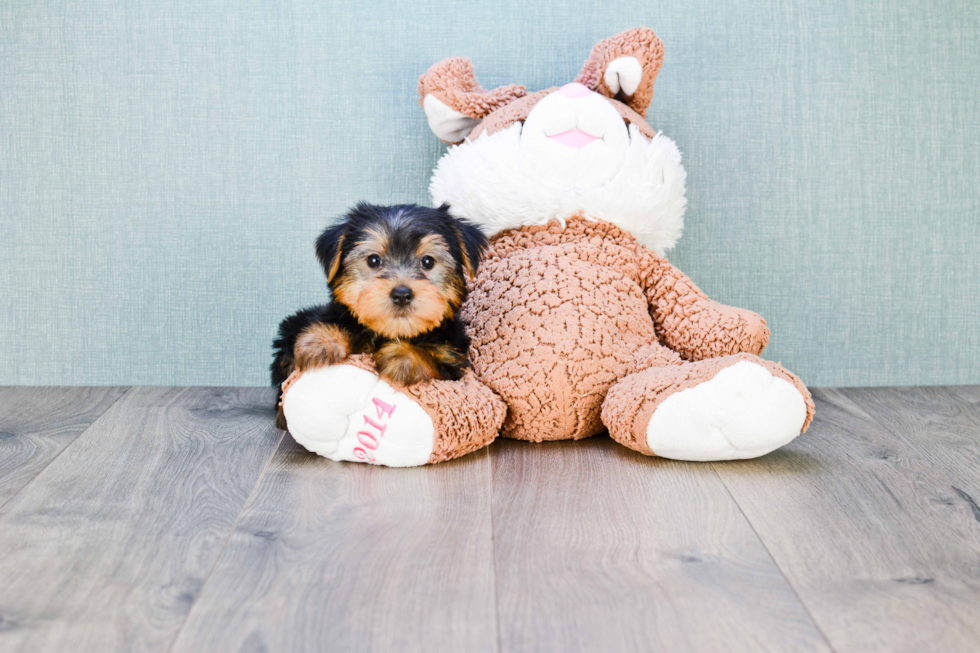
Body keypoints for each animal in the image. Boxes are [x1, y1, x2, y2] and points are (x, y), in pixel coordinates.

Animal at [270, 204, 488, 428]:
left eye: (428, 262)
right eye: (373, 260)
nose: (402, 294)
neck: (390, 332)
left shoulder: (453, 360)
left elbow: (435, 360)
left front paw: (404, 356)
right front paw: (321, 341)